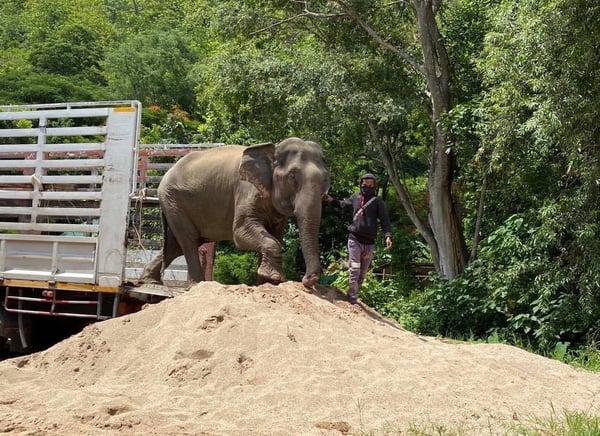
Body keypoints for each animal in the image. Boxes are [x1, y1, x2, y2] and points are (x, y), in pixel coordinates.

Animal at [138, 136, 330, 286]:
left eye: (326, 179)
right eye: (292, 176)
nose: (308, 280)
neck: (272, 148)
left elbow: (274, 235)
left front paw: (266, 283)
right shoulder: (245, 190)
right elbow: (241, 232)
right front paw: (274, 277)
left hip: (173, 203)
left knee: (176, 244)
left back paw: (149, 281)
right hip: (173, 200)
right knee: (189, 239)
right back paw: (196, 285)